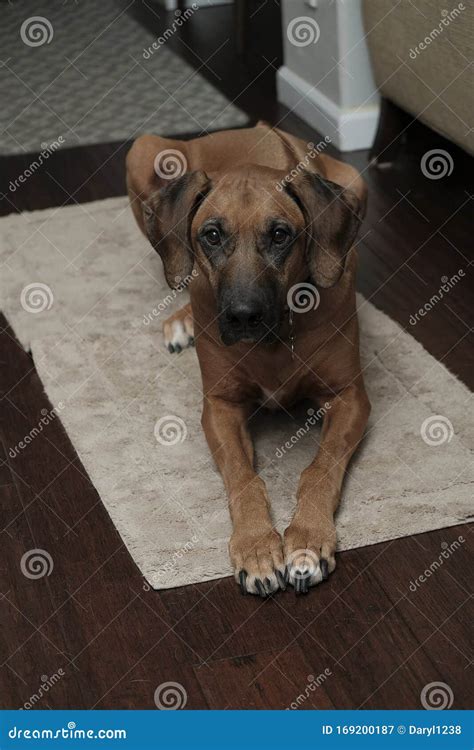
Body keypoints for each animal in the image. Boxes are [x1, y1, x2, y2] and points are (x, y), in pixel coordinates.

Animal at [126, 123, 370, 600]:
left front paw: (308, 538)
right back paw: (183, 318)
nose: (242, 317)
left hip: (356, 179)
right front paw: (257, 547)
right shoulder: (220, 406)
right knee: (180, 272)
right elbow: (244, 479)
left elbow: (320, 468)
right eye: (212, 235)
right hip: (142, 150)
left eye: (280, 235)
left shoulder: (350, 397)